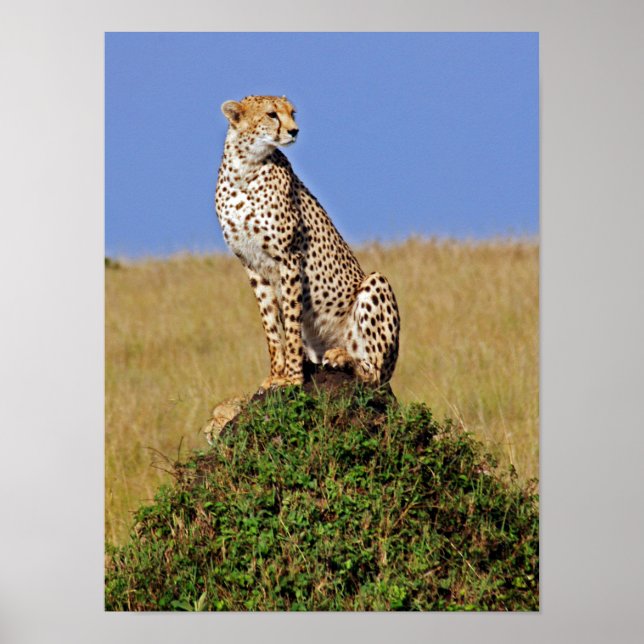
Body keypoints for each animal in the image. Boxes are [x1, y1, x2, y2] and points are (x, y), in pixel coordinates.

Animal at [214, 95, 400, 390]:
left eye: (292, 113)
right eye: (271, 114)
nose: (294, 131)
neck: (246, 166)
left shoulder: (289, 258)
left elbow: (291, 322)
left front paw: (292, 377)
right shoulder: (252, 265)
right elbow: (271, 326)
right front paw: (275, 375)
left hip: (375, 284)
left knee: (374, 374)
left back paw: (344, 359)